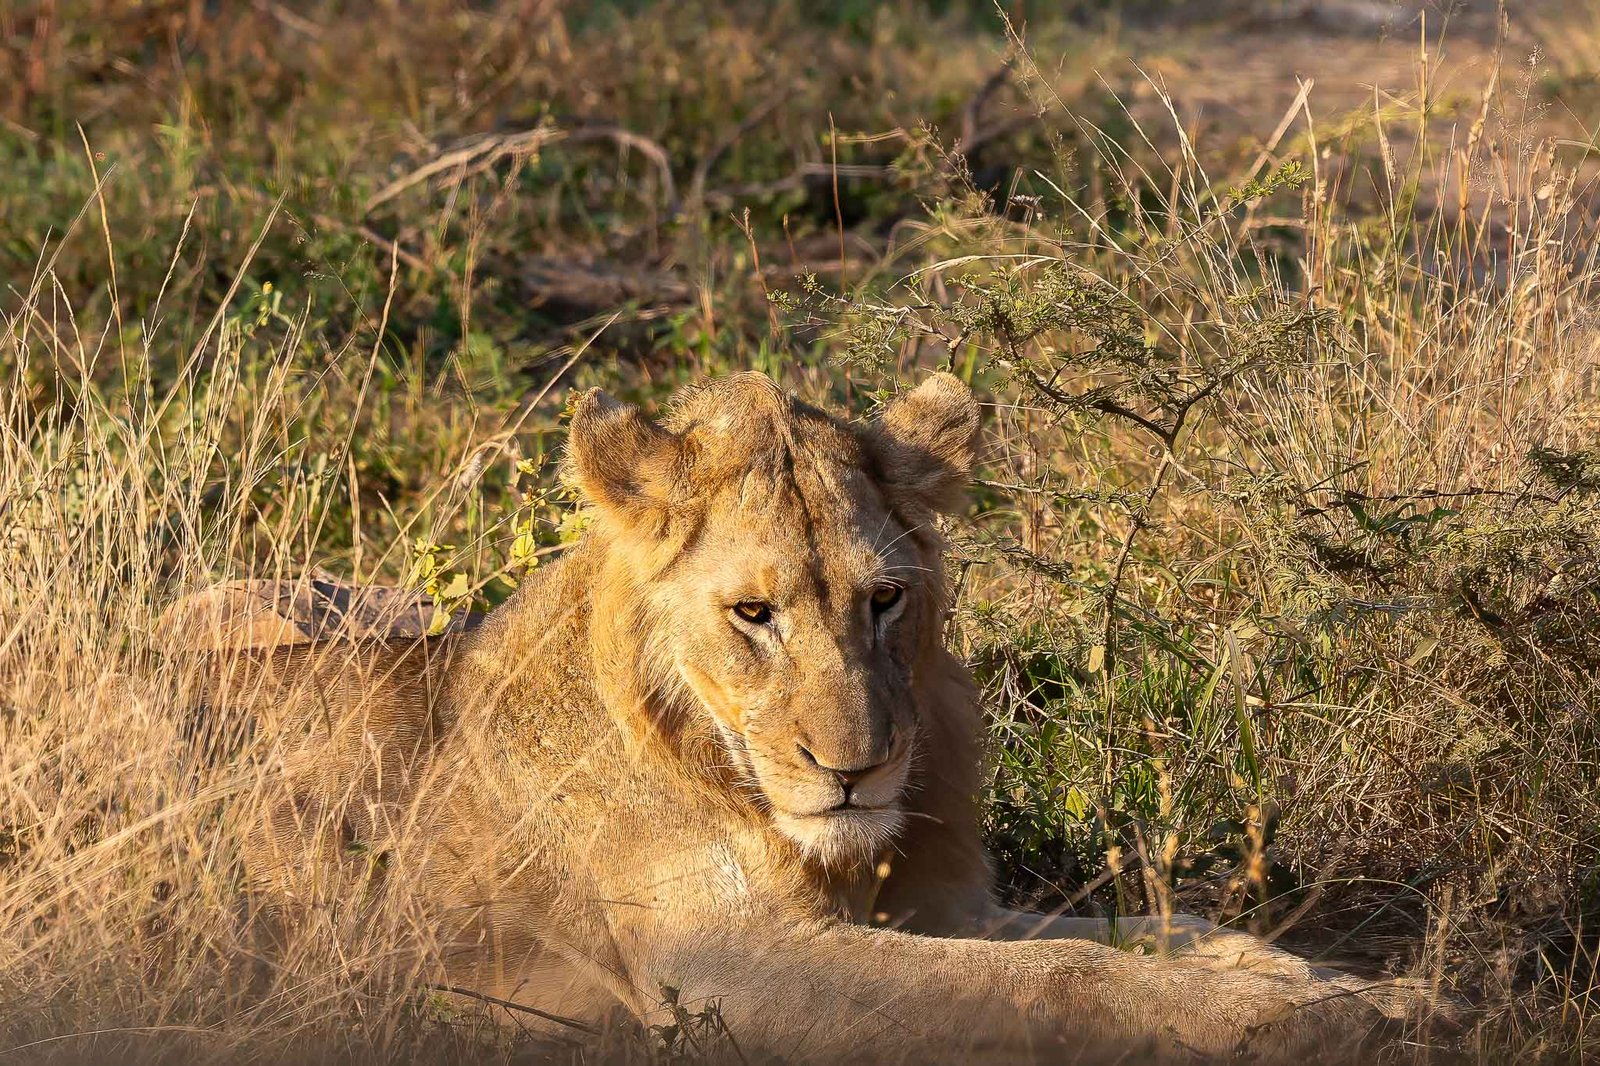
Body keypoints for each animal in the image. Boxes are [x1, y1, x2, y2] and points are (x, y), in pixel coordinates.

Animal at [186, 372, 1439, 1063]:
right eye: (754, 613)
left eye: (884, 599)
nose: (857, 771)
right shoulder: (719, 968)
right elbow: (1056, 982)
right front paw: (1305, 1021)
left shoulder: (945, 907)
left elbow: (1150, 935)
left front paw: (1352, 992)